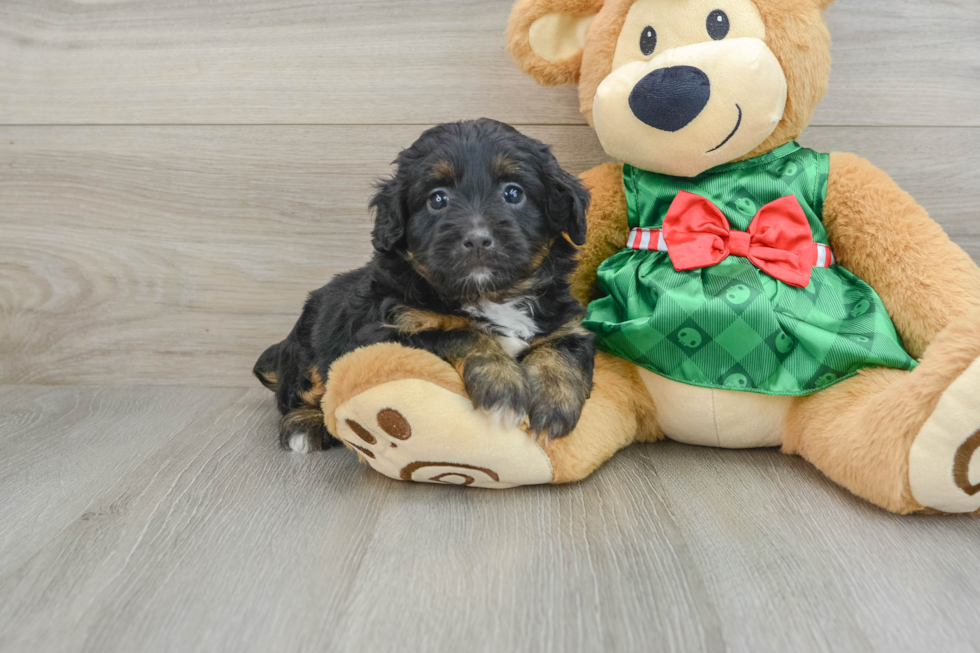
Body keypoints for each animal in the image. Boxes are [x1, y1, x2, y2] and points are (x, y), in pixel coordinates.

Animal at [253, 117, 592, 450]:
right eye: (437, 199)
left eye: (513, 193)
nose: (477, 239)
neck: (488, 296)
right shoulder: (383, 335)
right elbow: (460, 333)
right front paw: (502, 385)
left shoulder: (567, 325)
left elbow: (560, 350)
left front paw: (552, 403)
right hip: (308, 350)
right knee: (300, 393)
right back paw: (304, 425)